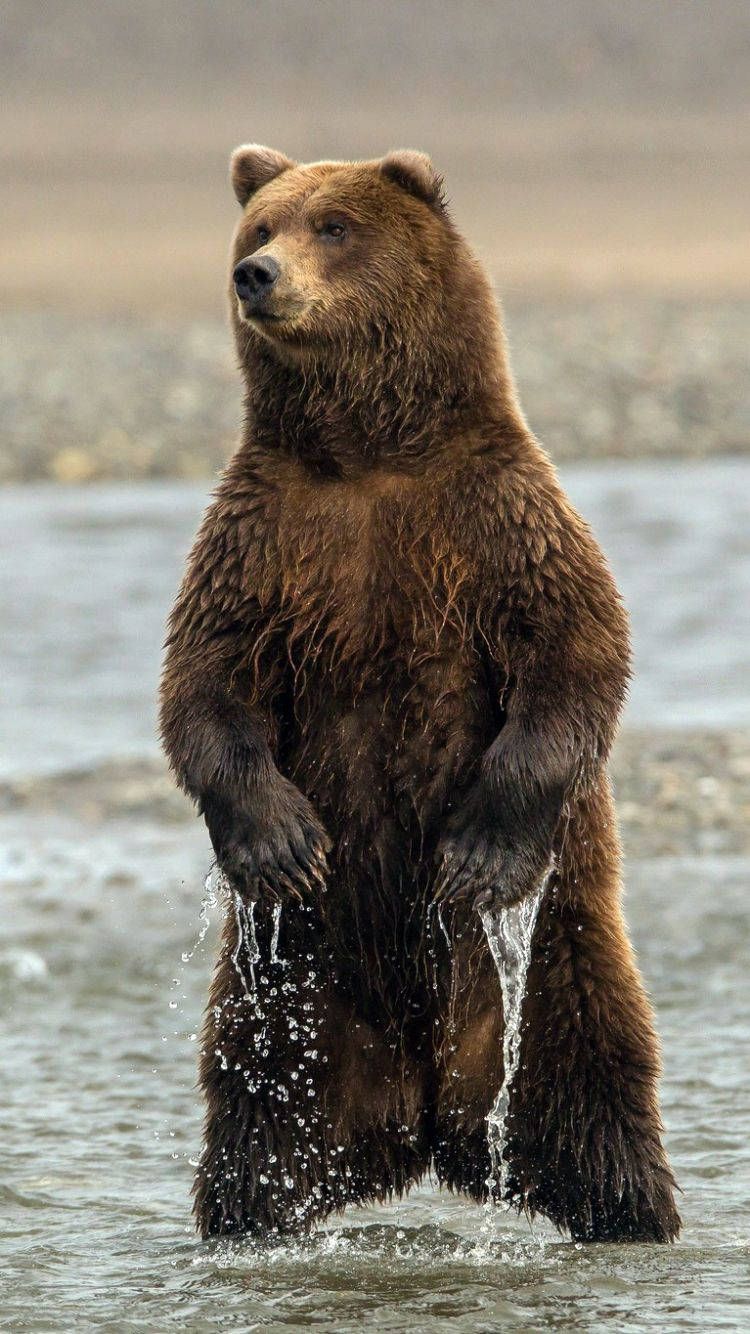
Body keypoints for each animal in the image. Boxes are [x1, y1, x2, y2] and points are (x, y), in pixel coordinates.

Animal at [159, 144, 680, 1244]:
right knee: (257, 1113)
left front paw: (478, 852)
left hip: (559, 953)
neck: (367, 455)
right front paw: (281, 841)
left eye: (334, 226)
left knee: (592, 1090)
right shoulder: (264, 541)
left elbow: (577, 655)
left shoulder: (498, 521)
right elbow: (207, 685)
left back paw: (631, 1215)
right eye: (260, 225)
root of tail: (426, 1120)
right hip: (293, 991)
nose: (256, 275)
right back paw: (249, 1221)